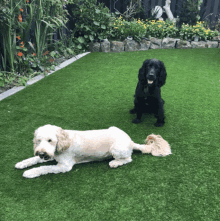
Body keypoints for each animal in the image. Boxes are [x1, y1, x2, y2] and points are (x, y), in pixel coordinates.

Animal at [15, 124, 172, 178]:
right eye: (38, 140)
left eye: (50, 140)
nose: (41, 153)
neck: (64, 141)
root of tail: (131, 141)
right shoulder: (52, 156)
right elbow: (35, 159)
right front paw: (22, 163)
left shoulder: (64, 166)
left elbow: (44, 168)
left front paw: (30, 172)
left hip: (115, 148)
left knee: (128, 159)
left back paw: (115, 163)